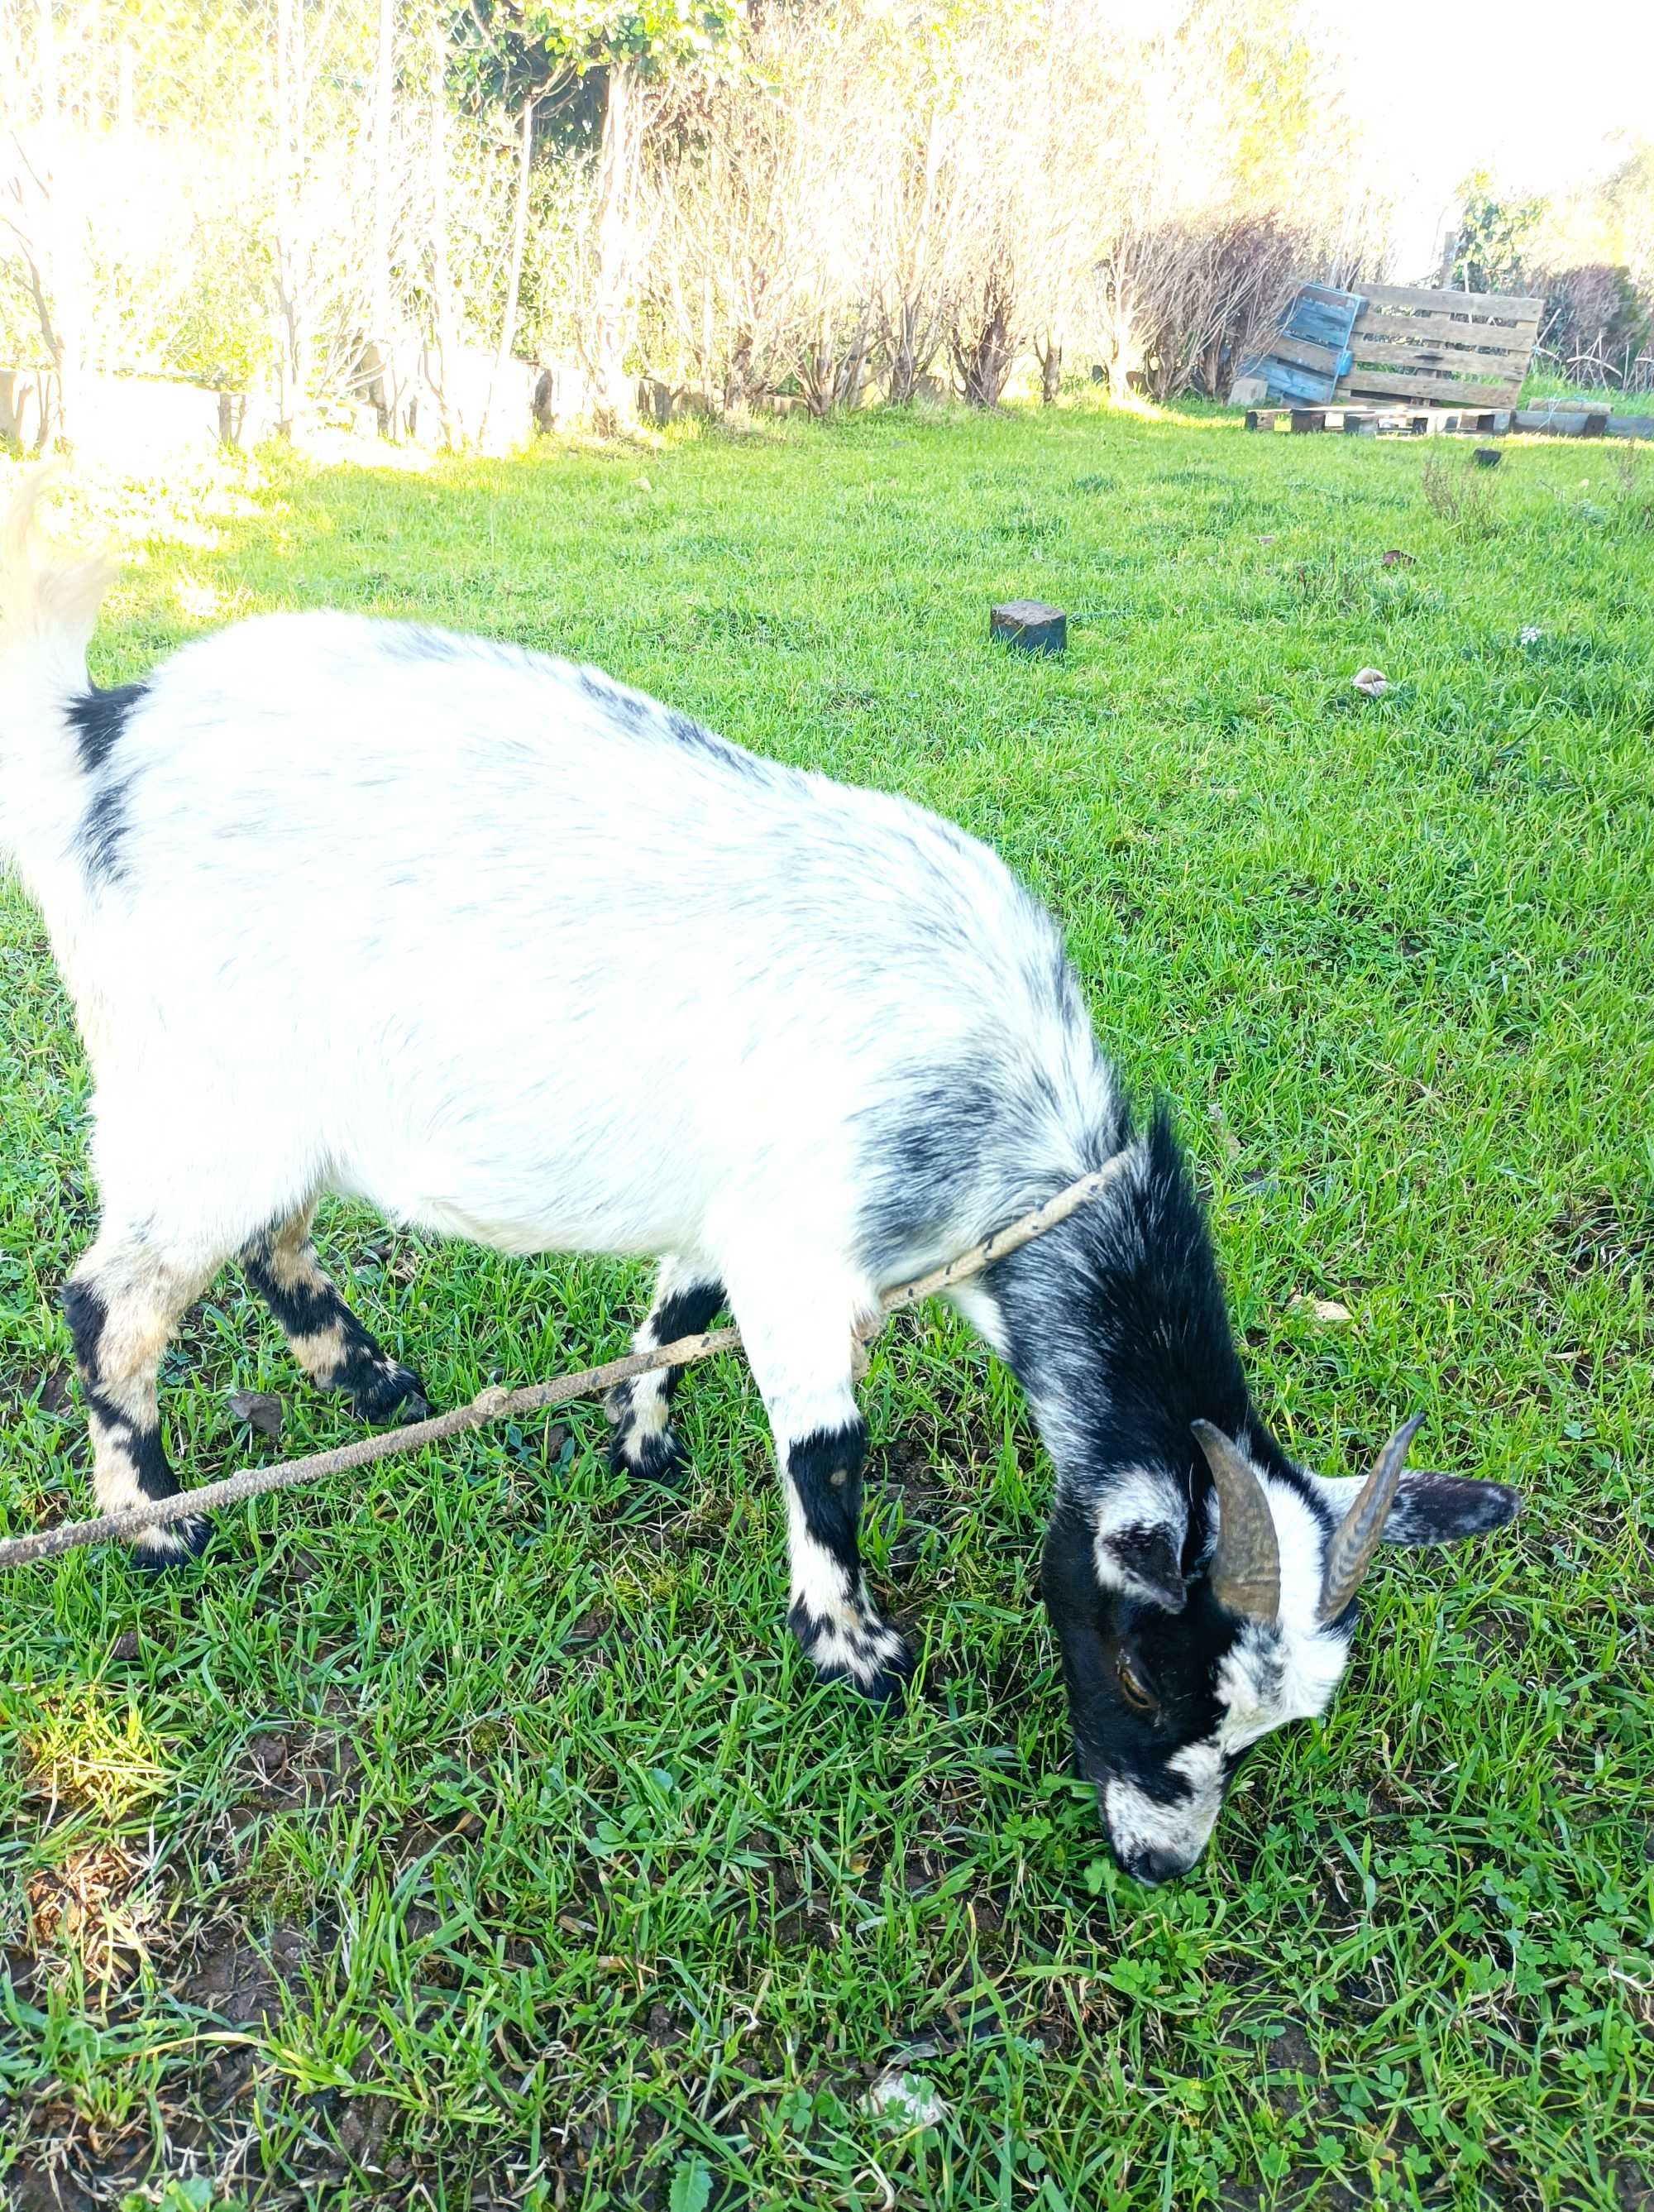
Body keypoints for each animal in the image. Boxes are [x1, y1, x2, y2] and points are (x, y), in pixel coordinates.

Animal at [2, 480, 1521, 1884]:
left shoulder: (735, 1210)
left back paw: (372, 1381)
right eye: (1148, 1669)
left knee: (271, 1242)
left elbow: (676, 1315)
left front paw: (641, 1439)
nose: (1159, 1861)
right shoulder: (802, 1249)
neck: (1005, 1138)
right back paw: (155, 1523)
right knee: (111, 1300)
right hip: (197, 1093)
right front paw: (852, 1645)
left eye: (1275, 1722)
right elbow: (827, 1452)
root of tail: (100, 728)